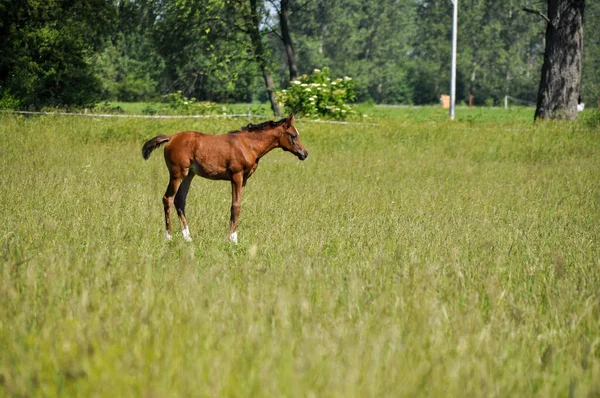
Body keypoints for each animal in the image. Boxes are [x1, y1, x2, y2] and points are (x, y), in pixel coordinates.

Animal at [143, 113, 308, 241]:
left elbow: (237, 204)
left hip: (189, 175)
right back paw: (169, 237)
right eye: (294, 135)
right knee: (168, 198)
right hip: (177, 173)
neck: (248, 145)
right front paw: (233, 240)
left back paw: (188, 238)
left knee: (180, 200)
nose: (304, 153)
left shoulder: (244, 180)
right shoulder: (236, 175)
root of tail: (171, 137)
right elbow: (235, 206)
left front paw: (231, 237)